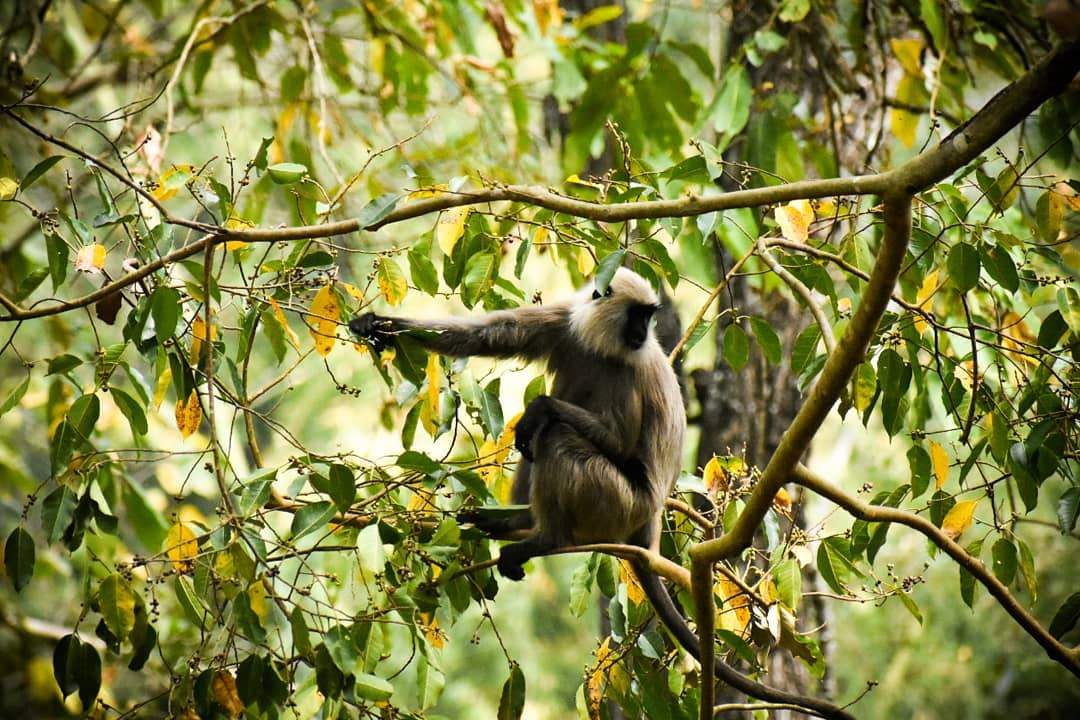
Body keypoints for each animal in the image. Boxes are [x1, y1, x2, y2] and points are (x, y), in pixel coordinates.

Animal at [349, 267, 855, 716]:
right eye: (639, 315)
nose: (643, 332)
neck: (604, 343)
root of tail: (649, 519)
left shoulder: (630, 370)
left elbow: (618, 441)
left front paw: (542, 407)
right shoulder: (566, 324)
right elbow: (488, 335)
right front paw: (380, 325)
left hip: (616, 499)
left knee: (552, 435)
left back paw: (545, 534)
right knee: (533, 442)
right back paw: (517, 522)